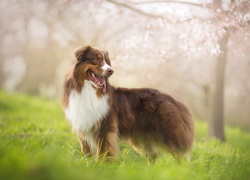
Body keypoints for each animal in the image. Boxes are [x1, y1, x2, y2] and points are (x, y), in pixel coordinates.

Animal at [61, 45, 194, 163]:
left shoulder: (106, 127)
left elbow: (104, 152)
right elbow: (87, 152)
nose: (111, 71)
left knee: (181, 156)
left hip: (167, 135)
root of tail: (173, 100)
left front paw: (101, 167)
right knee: (153, 155)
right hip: (143, 137)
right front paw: (88, 165)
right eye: (96, 59)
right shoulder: (84, 127)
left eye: (107, 62)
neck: (88, 90)